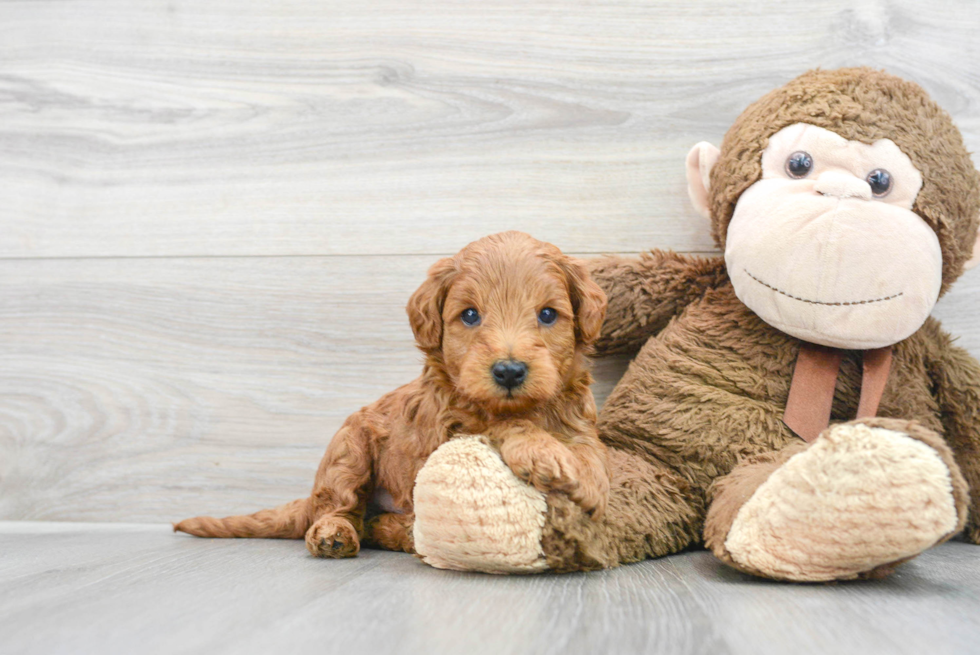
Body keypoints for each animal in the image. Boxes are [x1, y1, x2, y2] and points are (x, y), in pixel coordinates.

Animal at [172, 232, 608, 560]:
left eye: (548, 314)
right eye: (470, 315)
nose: (509, 371)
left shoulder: (579, 421)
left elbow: (591, 452)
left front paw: (589, 483)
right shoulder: (453, 425)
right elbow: (502, 423)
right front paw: (543, 451)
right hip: (347, 450)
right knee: (340, 507)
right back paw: (338, 533)